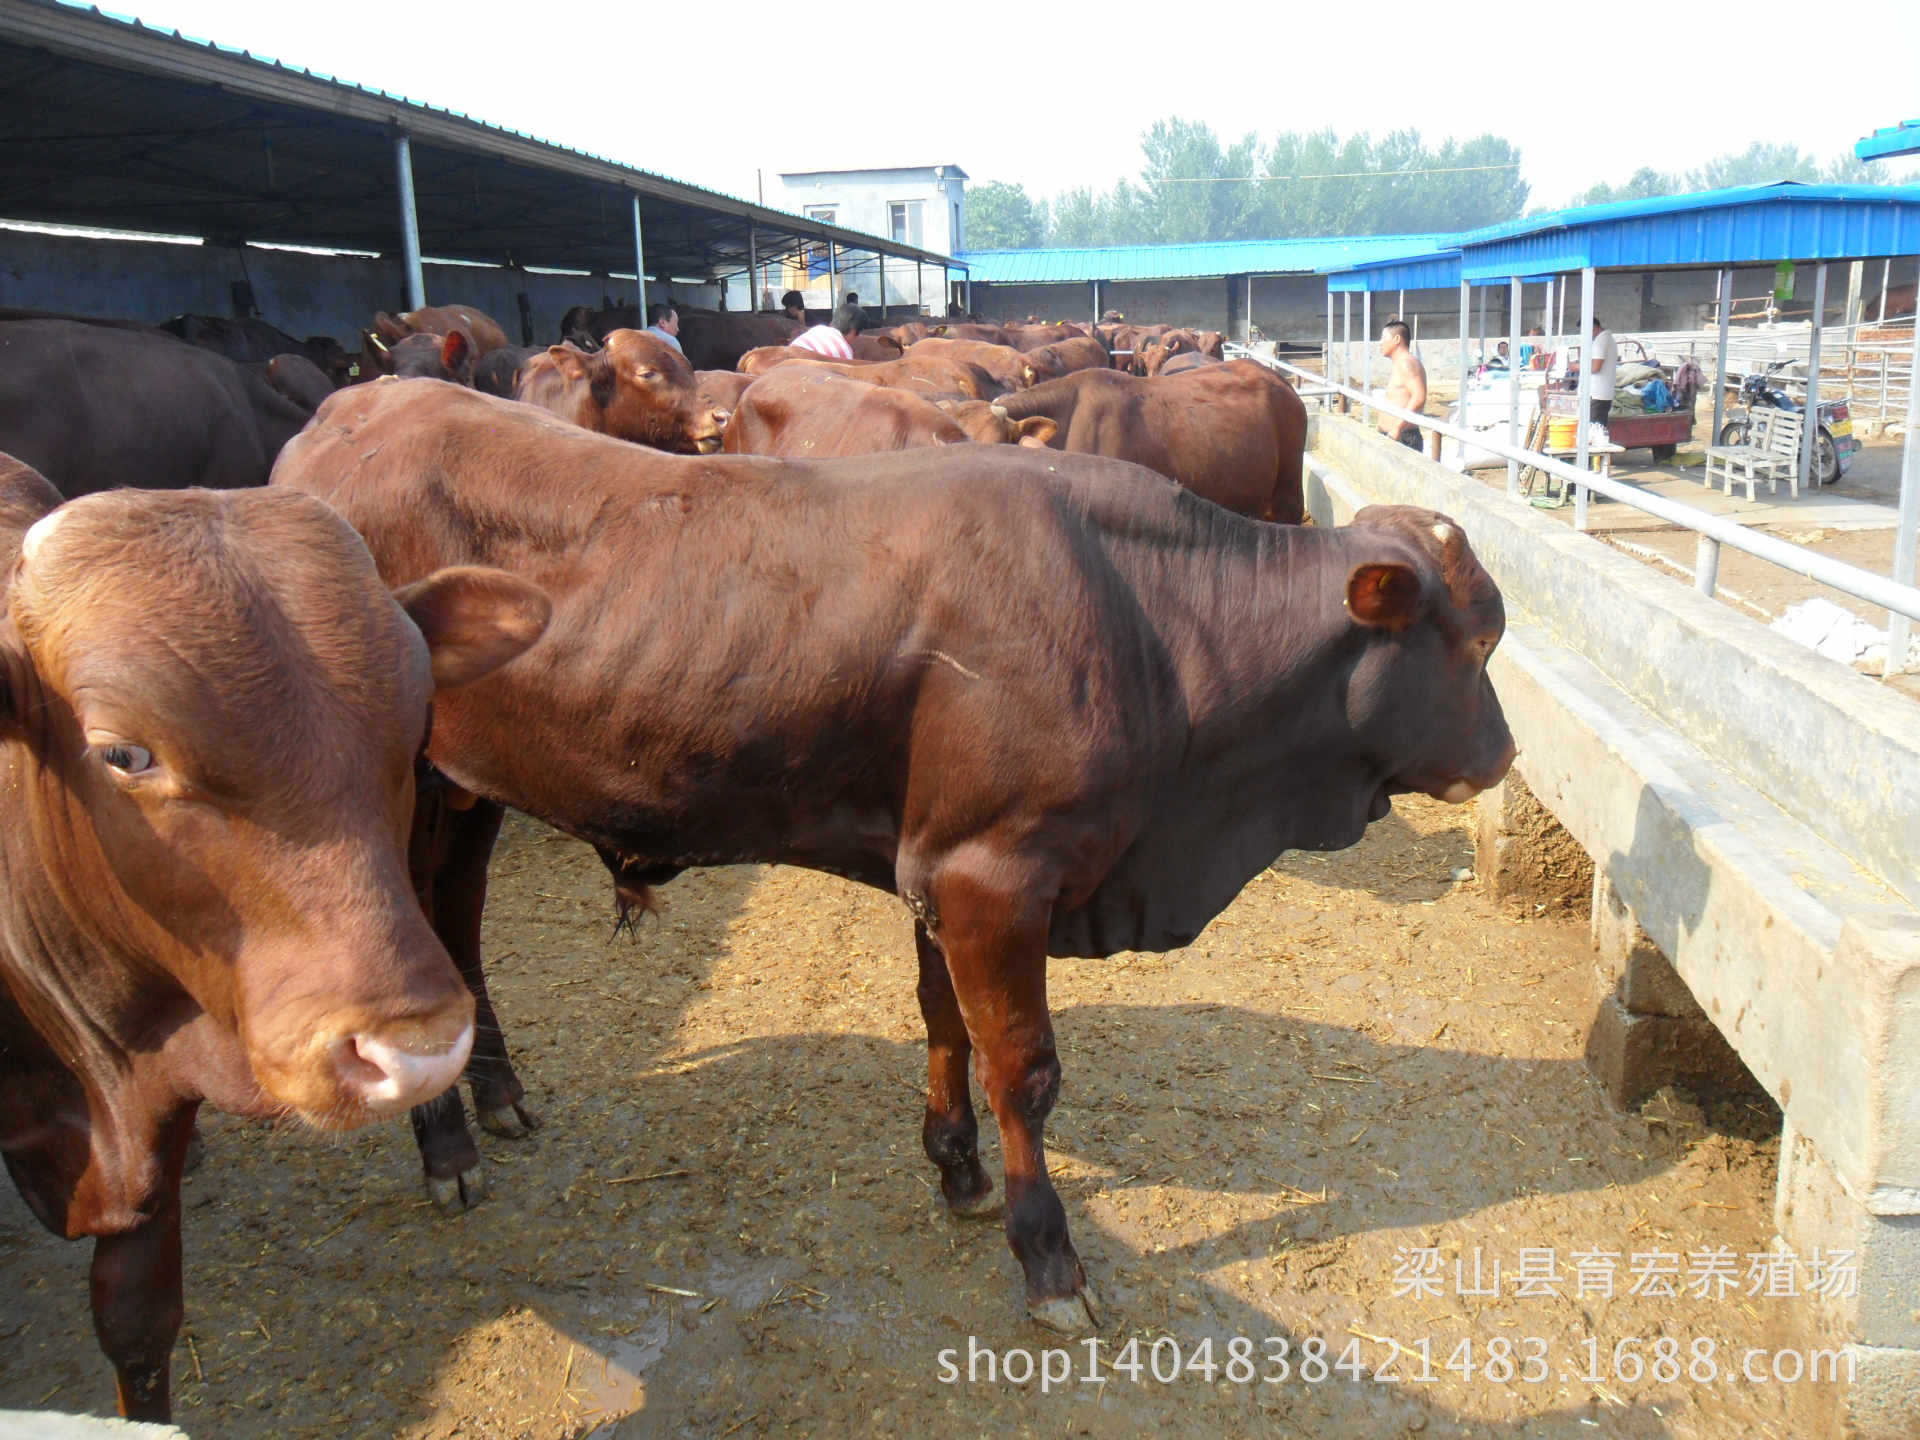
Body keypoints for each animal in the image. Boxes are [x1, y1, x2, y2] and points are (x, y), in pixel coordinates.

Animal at [274, 380, 1512, 1344]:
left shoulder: (941, 869)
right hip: (402, 792)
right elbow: (1025, 1069)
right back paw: (442, 1145)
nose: (1503, 755)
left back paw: (496, 1095)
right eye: (1474, 642)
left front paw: (955, 1166)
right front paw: (1047, 1257)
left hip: (469, 785)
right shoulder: (993, 874)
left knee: (458, 914)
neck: (1145, 621)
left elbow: (944, 1022)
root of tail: (350, 410)